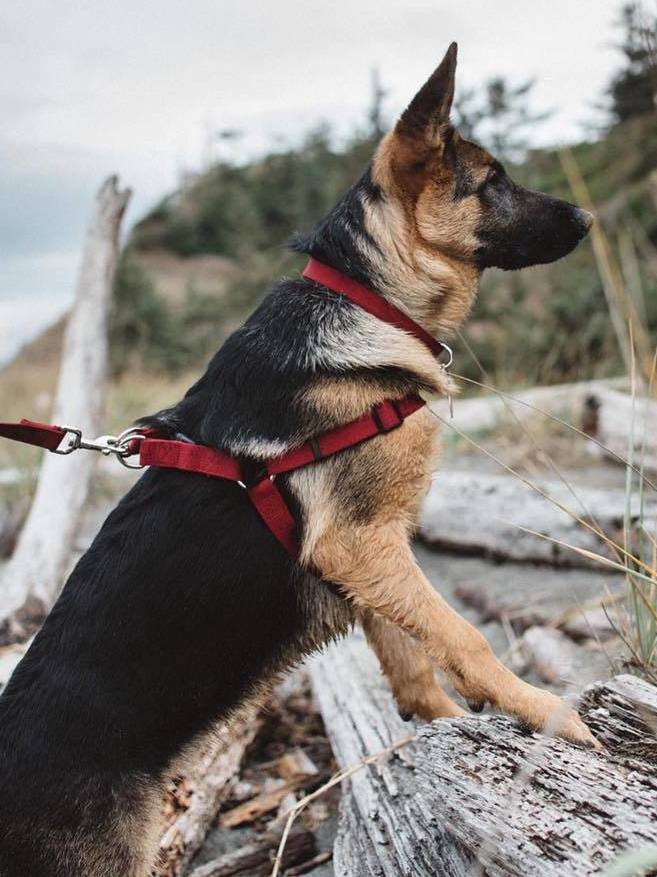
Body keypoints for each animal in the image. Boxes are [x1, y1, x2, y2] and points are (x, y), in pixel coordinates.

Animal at [0, 42, 596, 876]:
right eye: (492, 181)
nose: (587, 216)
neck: (368, 304)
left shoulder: (371, 554)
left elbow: (410, 660)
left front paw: (439, 724)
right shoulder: (359, 541)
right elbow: (462, 634)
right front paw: (545, 712)